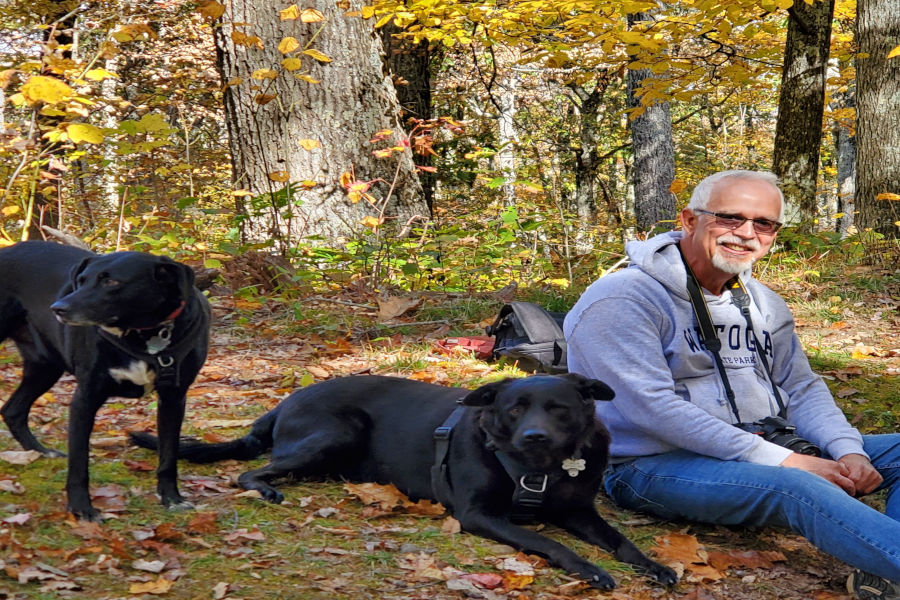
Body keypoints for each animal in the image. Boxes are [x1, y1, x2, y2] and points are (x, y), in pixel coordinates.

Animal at [0, 239, 209, 520]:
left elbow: (168, 456)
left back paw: (41, 451)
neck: (143, 334)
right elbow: (79, 463)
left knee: (12, 410)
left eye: (111, 282)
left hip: (45, 366)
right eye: (81, 280)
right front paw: (81, 508)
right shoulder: (85, 399)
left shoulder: (173, 399)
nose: (58, 309)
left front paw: (172, 498)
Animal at [132, 372, 676, 588]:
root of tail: (288, 400)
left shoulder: (577, 510)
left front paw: (654, 566)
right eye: (514, 409)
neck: (536, 469)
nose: (534, 435)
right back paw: (264, 488)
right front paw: (590, 570)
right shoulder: (478, 514)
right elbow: (554, 544)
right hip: (337, 432)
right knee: (250, 469)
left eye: (559, 408)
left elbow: (621, 540)